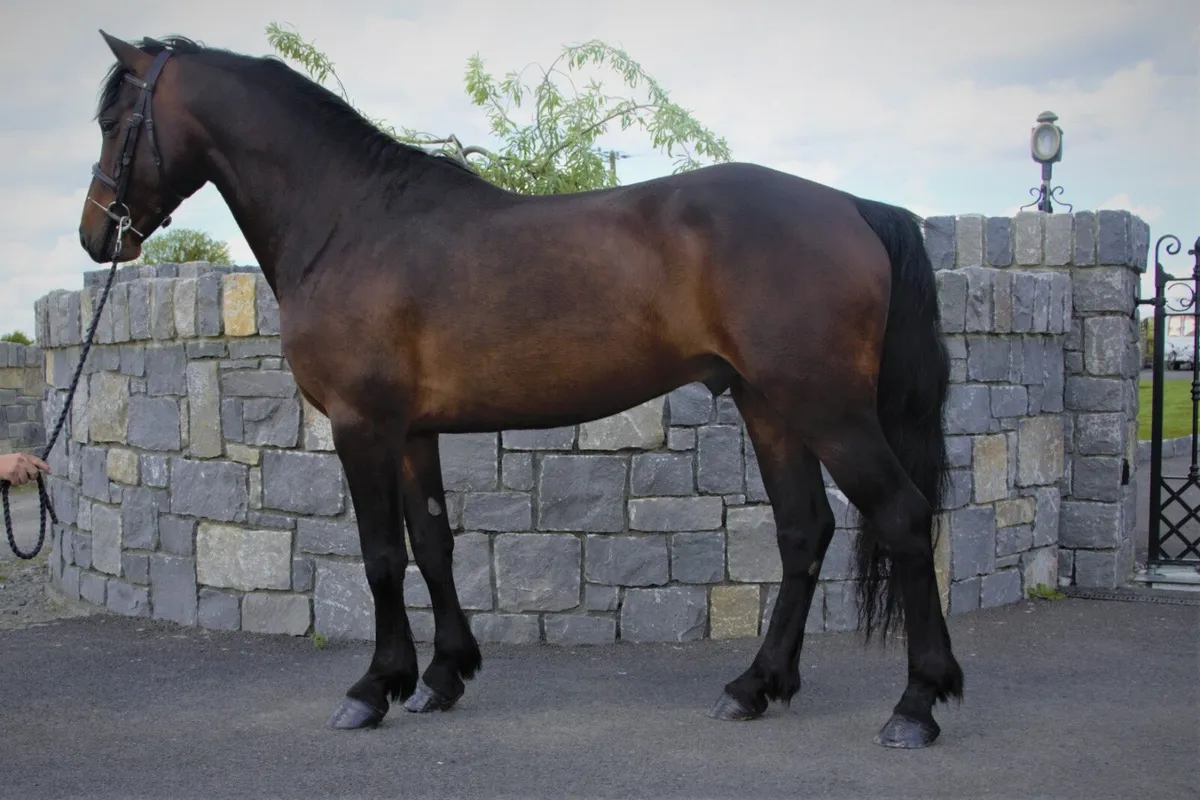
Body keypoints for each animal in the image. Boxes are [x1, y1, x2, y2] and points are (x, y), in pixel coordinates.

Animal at [78, 31, 963, 748]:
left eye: (116, 122)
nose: (96, 234)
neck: (351, 221)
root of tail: (850, 205)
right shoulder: (412, 432)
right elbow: (432, 543)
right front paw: (442, 677)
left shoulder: (362, 426)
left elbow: (379, 554)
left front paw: (373, 688)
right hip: (768, 404)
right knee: (803, 531)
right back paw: (754, 686)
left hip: (826, 408)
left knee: (902, 516)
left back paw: (916, 705)